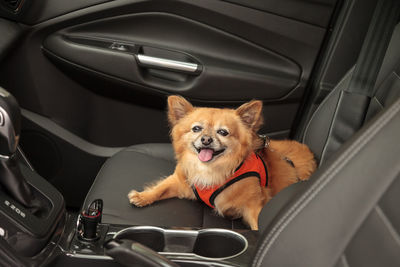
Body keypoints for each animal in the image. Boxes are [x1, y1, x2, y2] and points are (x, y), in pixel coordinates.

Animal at [128, 96, 316, 230]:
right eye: (196, 129)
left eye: (223, 132)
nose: (206, 139)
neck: (211, 169)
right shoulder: (180, 182)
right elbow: (161, 188)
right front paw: (143, 196)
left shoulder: (253, 205)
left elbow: (257, 224)